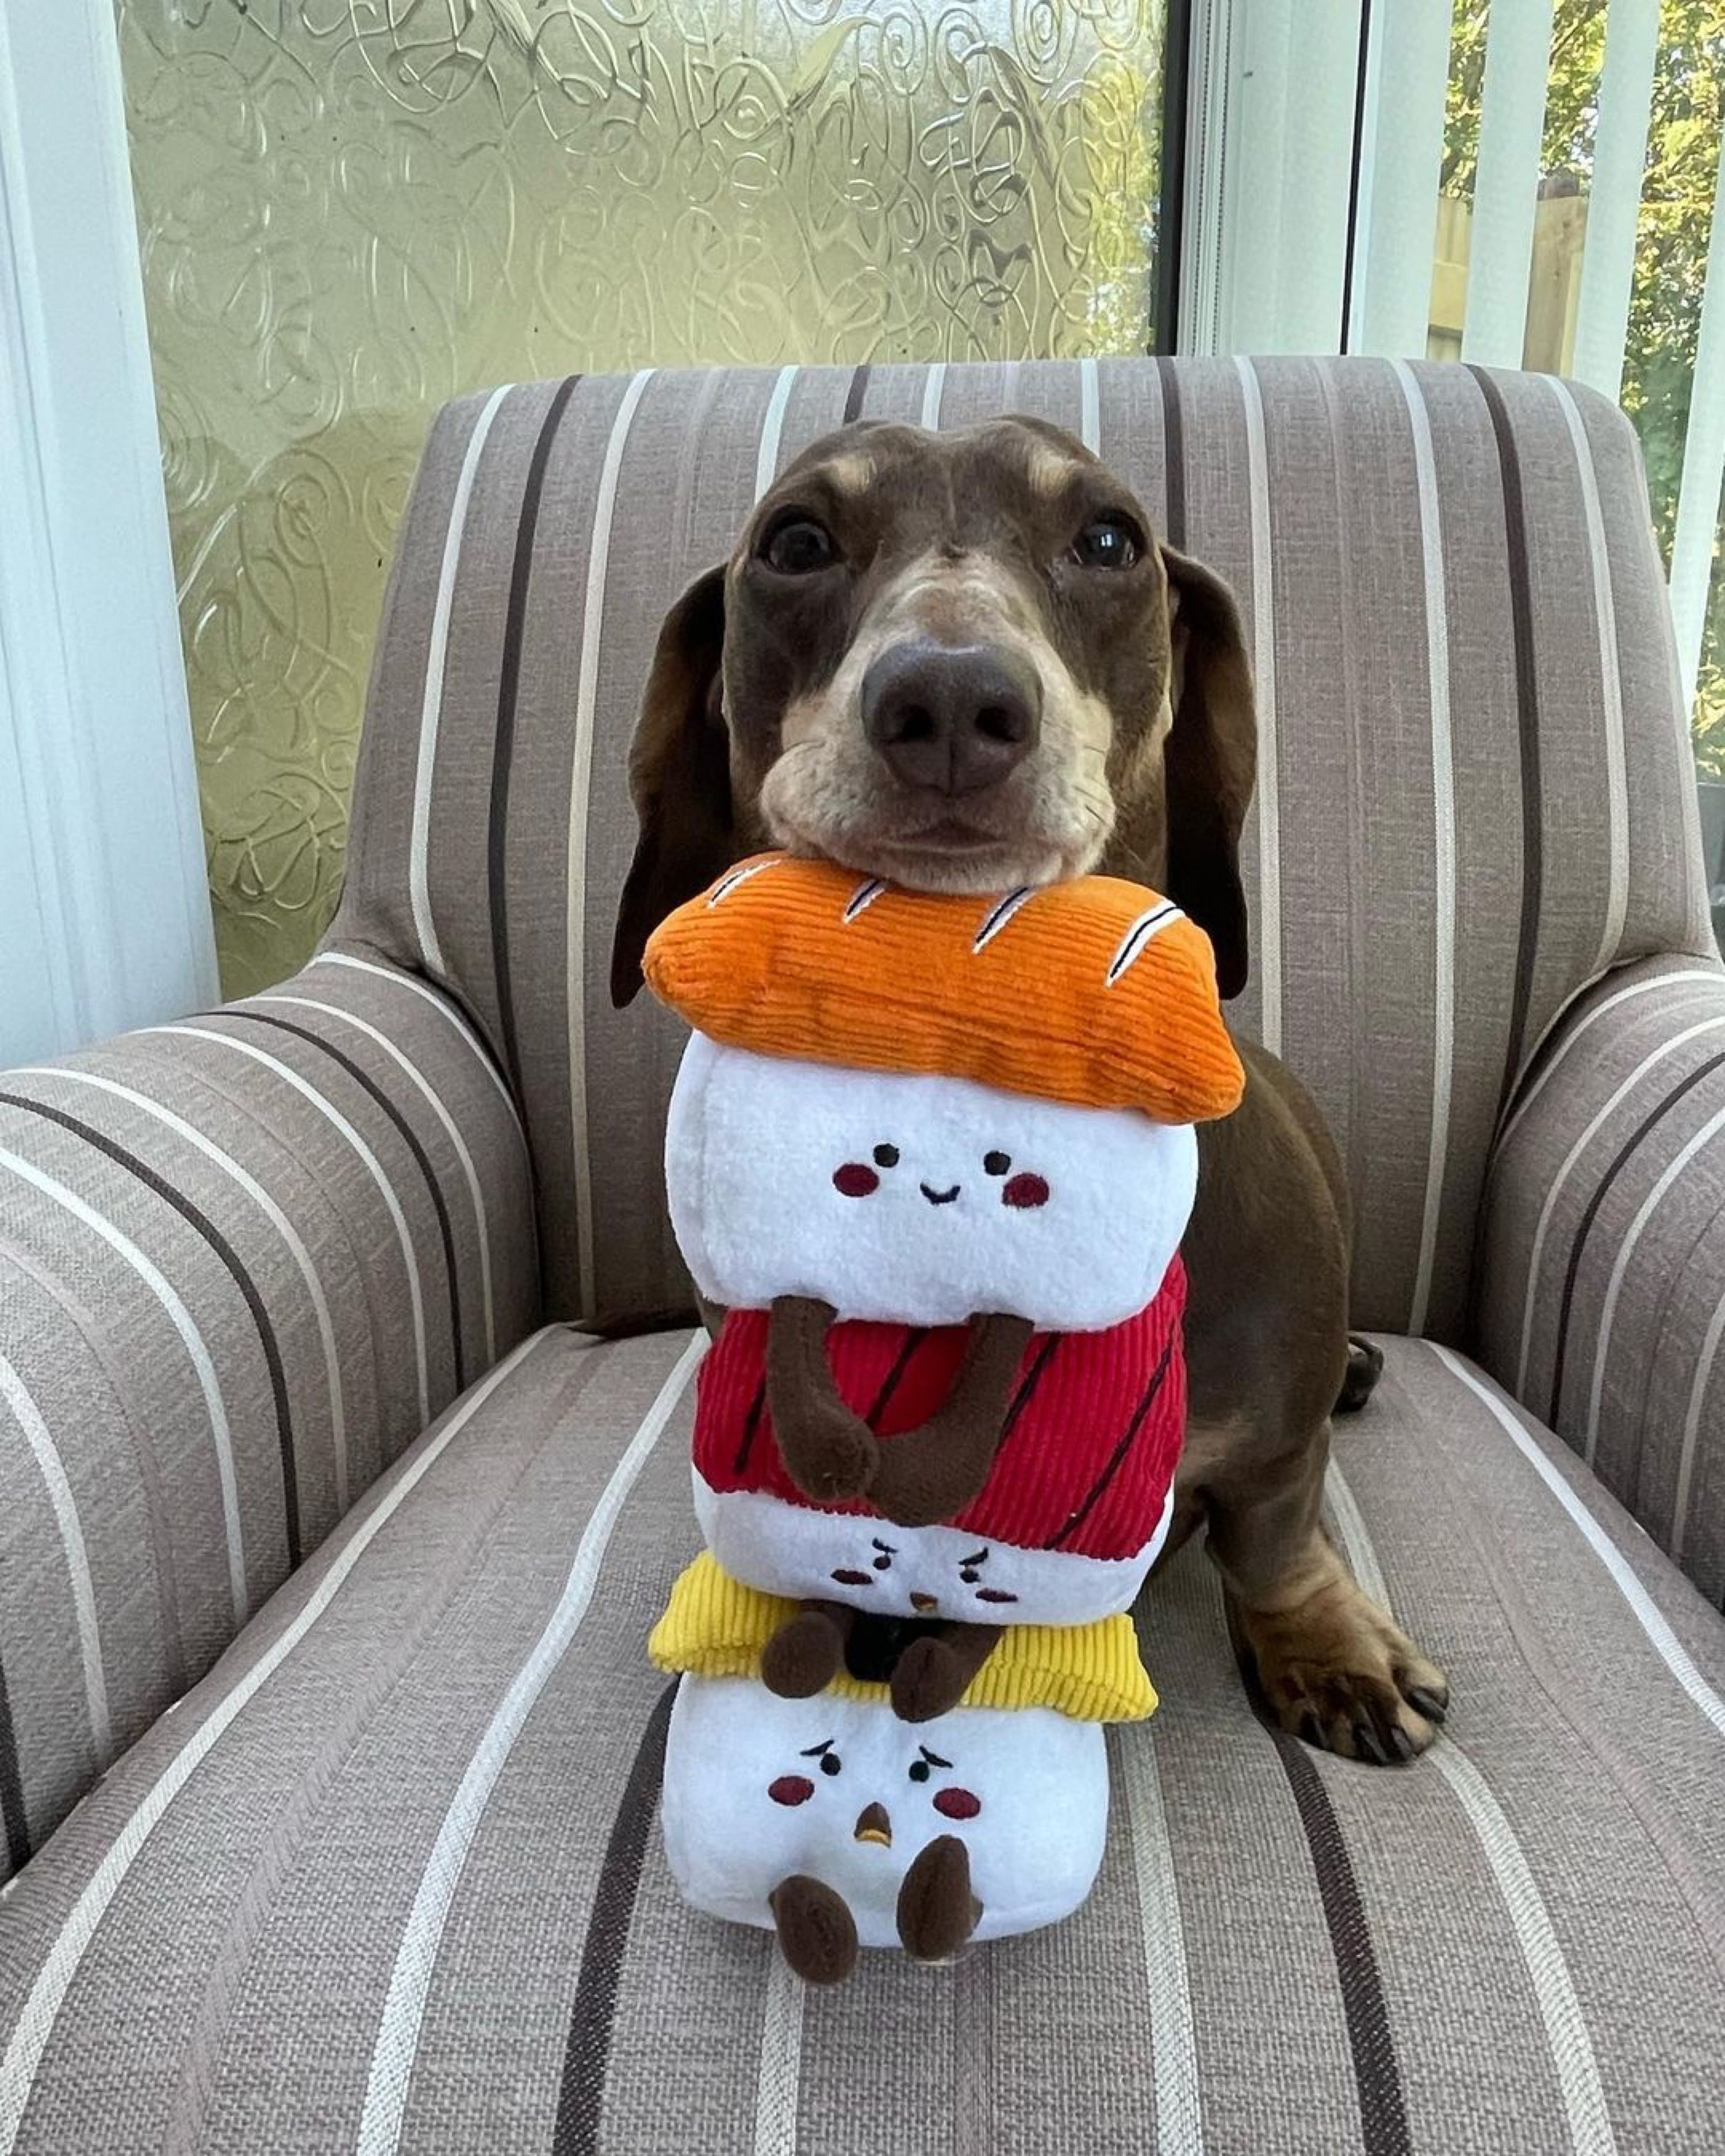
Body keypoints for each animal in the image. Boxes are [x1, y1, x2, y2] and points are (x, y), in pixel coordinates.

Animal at [610, 414, 1449, 1763]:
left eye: (1108, 539)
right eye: (796, 542)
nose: (952, 700)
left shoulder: (1275, 1450)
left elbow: (1275, 1536)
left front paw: (1329, 1642)